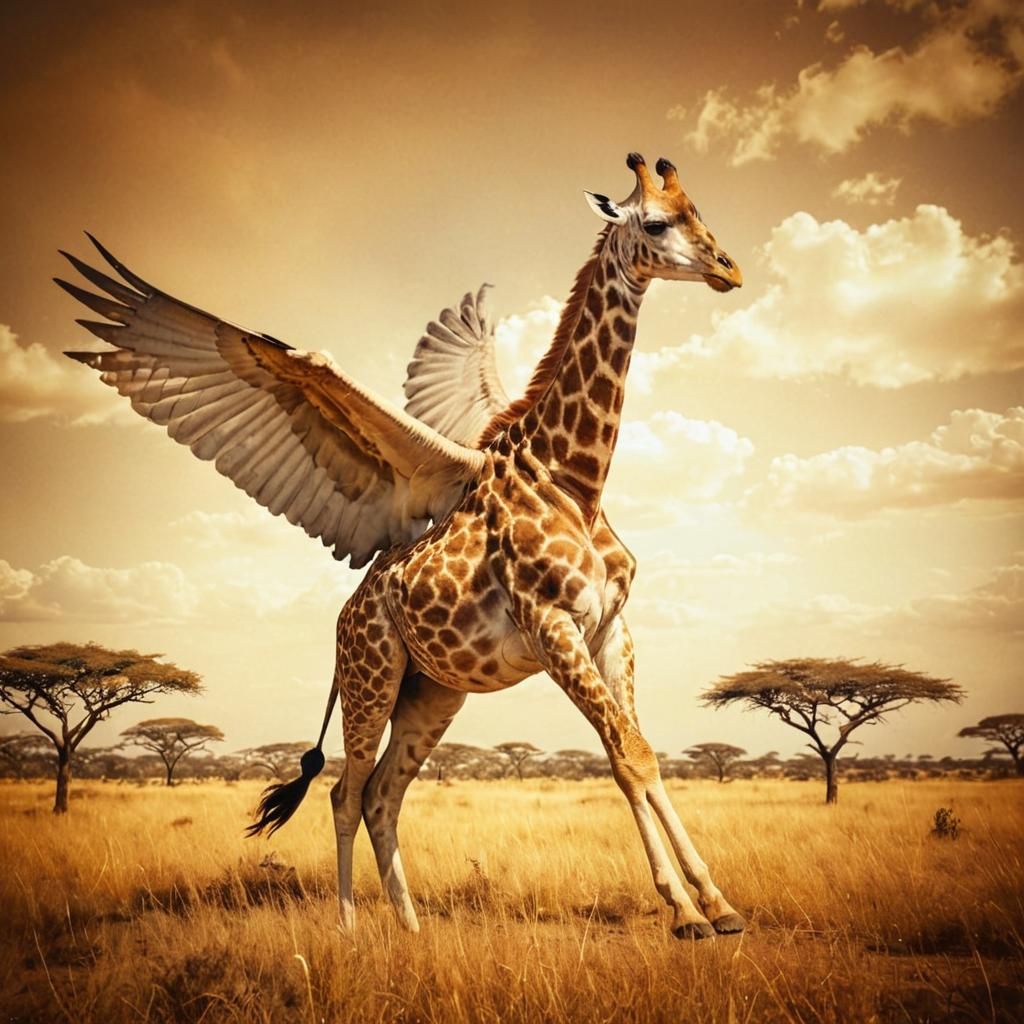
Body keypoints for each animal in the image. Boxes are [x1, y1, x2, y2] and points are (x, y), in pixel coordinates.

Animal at [58, 153, 744, 939]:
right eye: (657, 223)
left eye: (699, 212)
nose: (729, 269)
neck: (575, 477)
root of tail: (344, 618)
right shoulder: (551, 623)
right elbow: (628, 756)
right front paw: (687, 913)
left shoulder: (609, 627)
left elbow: (638, 753)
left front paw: (717, 904)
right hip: (372, 677)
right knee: (345, 790)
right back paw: (351, 927)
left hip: (433, 692)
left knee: (385, 791)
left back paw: (412, 927)